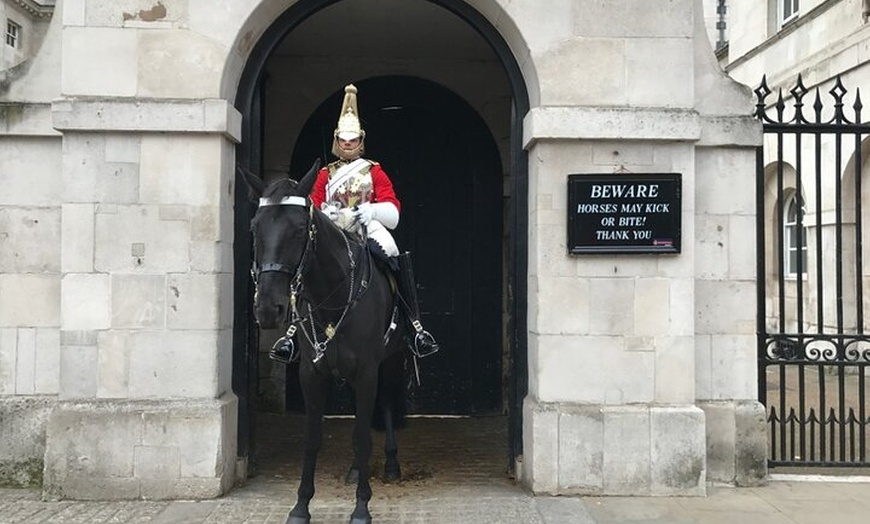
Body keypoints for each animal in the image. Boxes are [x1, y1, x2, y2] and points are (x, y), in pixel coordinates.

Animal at [238, 161, 408, 524]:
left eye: (300, 229)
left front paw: (361, 508)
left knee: (385, 405)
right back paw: (356, 470)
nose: (268, 309)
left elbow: (362, 437)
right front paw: (301, 506)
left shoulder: (367, 371)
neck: (333, 294)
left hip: (391, 359)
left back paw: (390, 464)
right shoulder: (312, 373)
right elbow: (313, 438)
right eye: (255, 227)